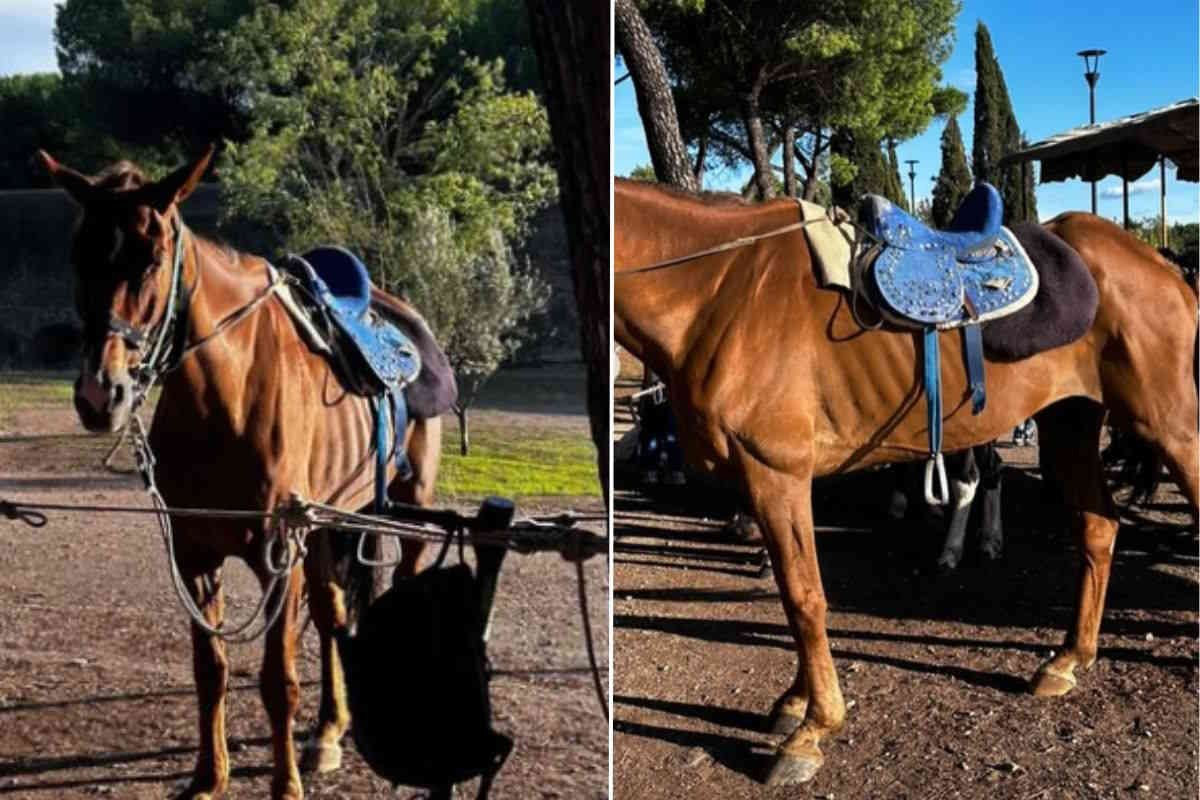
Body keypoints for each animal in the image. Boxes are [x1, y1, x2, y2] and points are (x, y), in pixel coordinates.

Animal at [39, 146, 455, 800]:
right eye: (79, 256)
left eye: (152, 259)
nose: (101, 394)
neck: (227, 398)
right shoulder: (195, 554)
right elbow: (210, 668)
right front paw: (209, 777)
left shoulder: (278, 553)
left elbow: (276, 679)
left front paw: (285, 787)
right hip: (331, 523)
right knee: (333, 612)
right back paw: (329, 731)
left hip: (405, 504)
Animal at [613, 177, 1198, 786]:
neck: (715, 290)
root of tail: (1160, 265)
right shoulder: (772, 483)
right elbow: (795, 594)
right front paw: (796, 702)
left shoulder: (776, 474)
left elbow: (803, 598)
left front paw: (813, 729)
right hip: (1070, 424)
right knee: (1099, 529)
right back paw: (1069, 660)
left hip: (1169, 425)